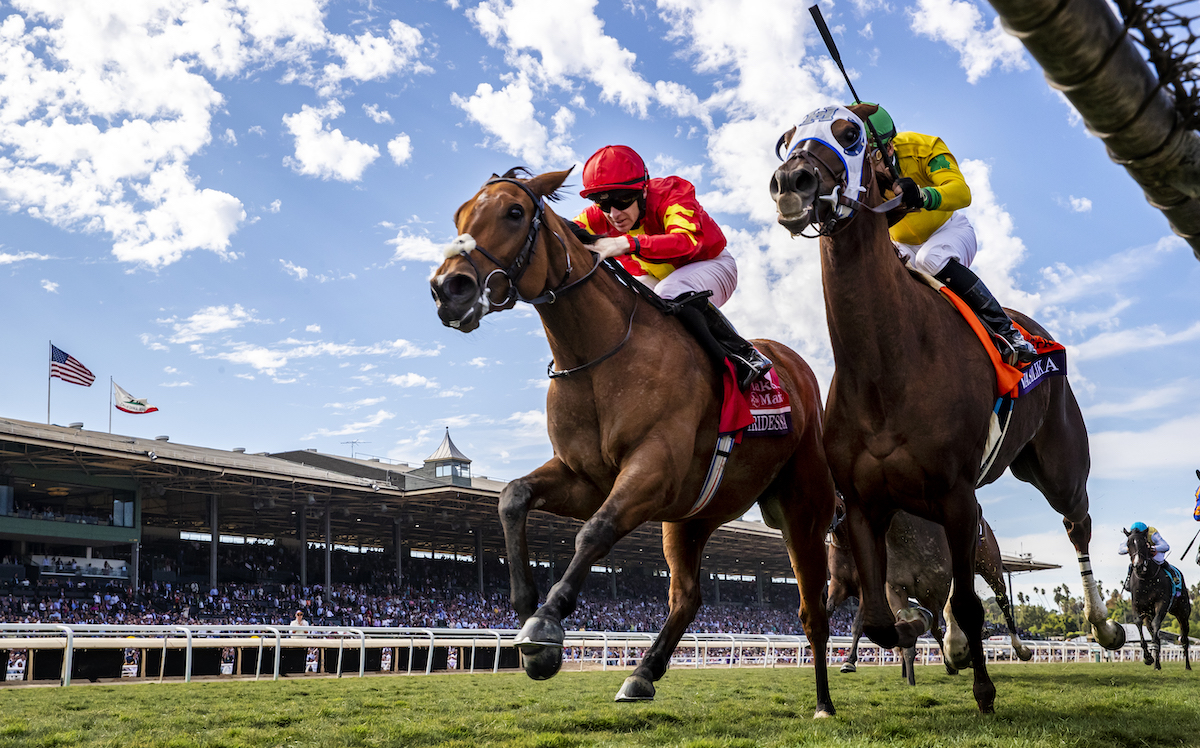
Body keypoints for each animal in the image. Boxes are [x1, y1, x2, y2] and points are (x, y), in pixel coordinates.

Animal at [429, 168, 835, 715]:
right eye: (459, 216)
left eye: (514, 212)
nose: (448, 288)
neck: (598, 355)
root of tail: (798, 368)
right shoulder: (585, 477)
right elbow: (513, 496)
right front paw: (525, 605)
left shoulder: (652, 471)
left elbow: (594, 532)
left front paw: (547, 622)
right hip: (691, 517)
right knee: (687, 596)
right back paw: (642, 673)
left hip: (803, 507)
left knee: (813, 607)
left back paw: (824, 702)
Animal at [1123, 530, 1190, 672]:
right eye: (1128, 544)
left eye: (1144, 543)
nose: (1138, 565)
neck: (1146, 578)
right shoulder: (1137, 605)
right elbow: (1139, 623)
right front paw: (1148, 657)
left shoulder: (1161, 603)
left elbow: (1156, 624)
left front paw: (1152, 649)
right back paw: (1157, 665)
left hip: (1182, 613)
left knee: (1184, 638)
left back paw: (1188, 666)